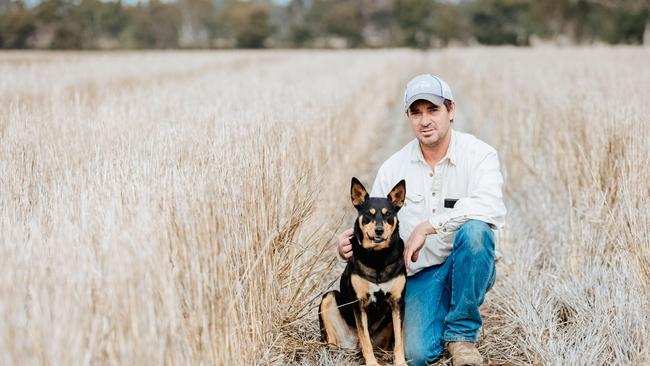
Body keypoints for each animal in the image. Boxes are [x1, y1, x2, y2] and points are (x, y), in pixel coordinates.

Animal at [318, 177, 404, 366]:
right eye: (369, 214)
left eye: (388, 214)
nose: (379, 230)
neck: (378, 256)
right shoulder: (359, 303)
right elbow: (365, 338)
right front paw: (371, 363)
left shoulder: (397, 302)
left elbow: (400, 338)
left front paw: (401, 362)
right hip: (328, 299)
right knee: (333, 342)